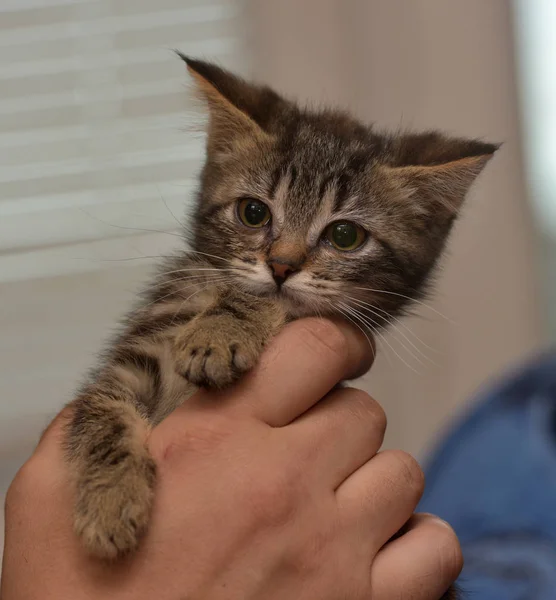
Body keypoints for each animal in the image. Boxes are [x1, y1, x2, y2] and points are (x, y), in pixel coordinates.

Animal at [67, 52, 498, 568]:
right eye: (253, 212)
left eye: (345, 236)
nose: (281, 266)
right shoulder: (130, 364)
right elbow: (100, 416)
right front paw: (111, 503)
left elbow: (267, 304)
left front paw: (219, 332)